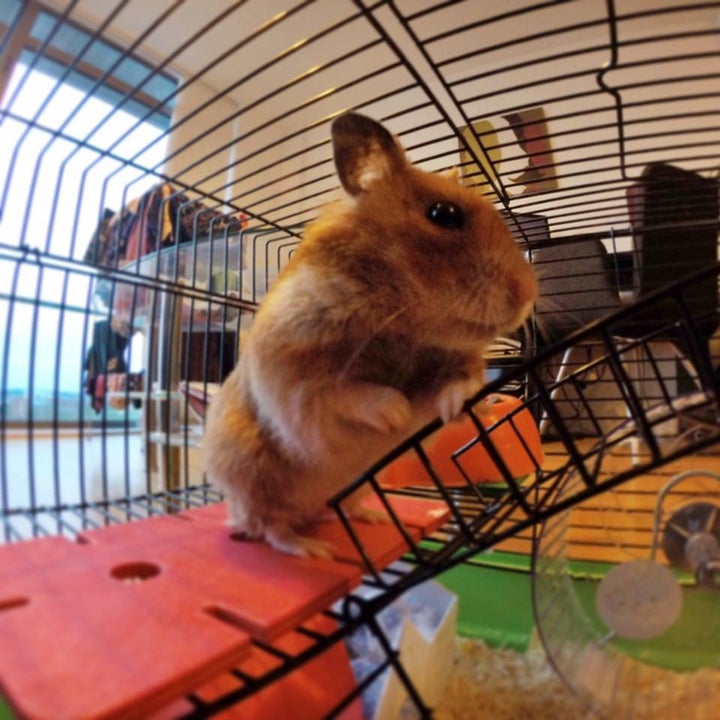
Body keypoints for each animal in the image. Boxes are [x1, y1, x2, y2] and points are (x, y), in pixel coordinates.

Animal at [202, 112, 536, 556]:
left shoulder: (456, 358)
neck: (401, 317)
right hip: (252, 481)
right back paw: (312, 550)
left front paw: (464, 405)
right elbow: (345, 394)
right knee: (269, 527)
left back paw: (372, 517)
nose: (528, 296)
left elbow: (459, 382)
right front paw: (396, 411)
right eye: (444, 214)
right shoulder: (294, 375)